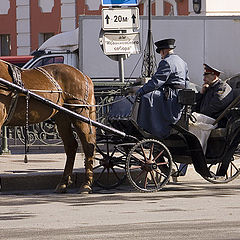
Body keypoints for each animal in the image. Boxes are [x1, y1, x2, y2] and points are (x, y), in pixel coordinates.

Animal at [0, 61, 95, 194]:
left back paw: (86, 184)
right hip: (62, 116)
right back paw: (63, 183)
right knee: (71, 146)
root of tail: (84, 75)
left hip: (79, 113)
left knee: (88, 144)